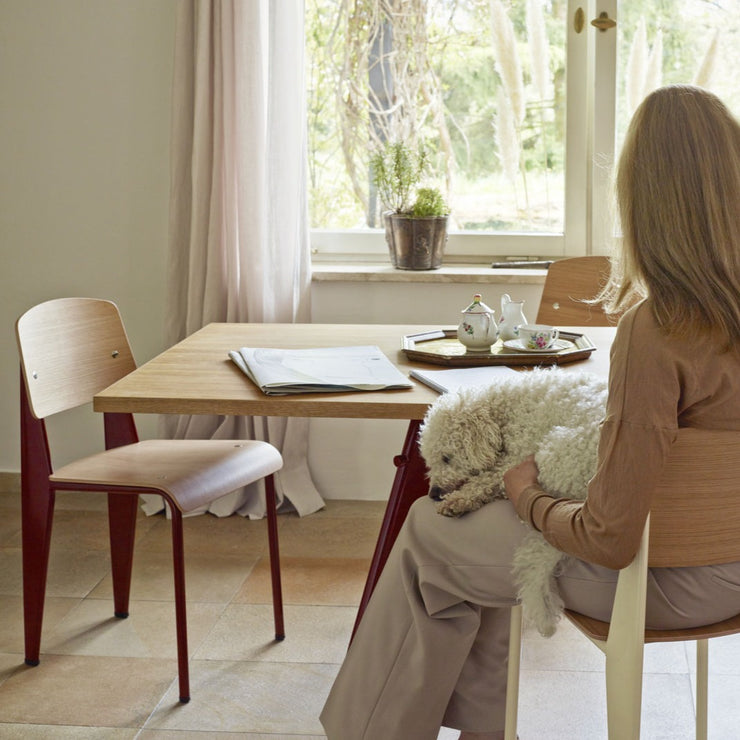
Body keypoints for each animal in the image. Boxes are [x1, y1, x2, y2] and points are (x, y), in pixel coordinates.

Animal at [420, 370, 604, 636]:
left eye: (447, 457)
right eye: (429, 459)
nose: (433, 492)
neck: (505, 413)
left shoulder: (515, 461)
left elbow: (487, 479)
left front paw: (458, 500)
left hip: (557, 452)